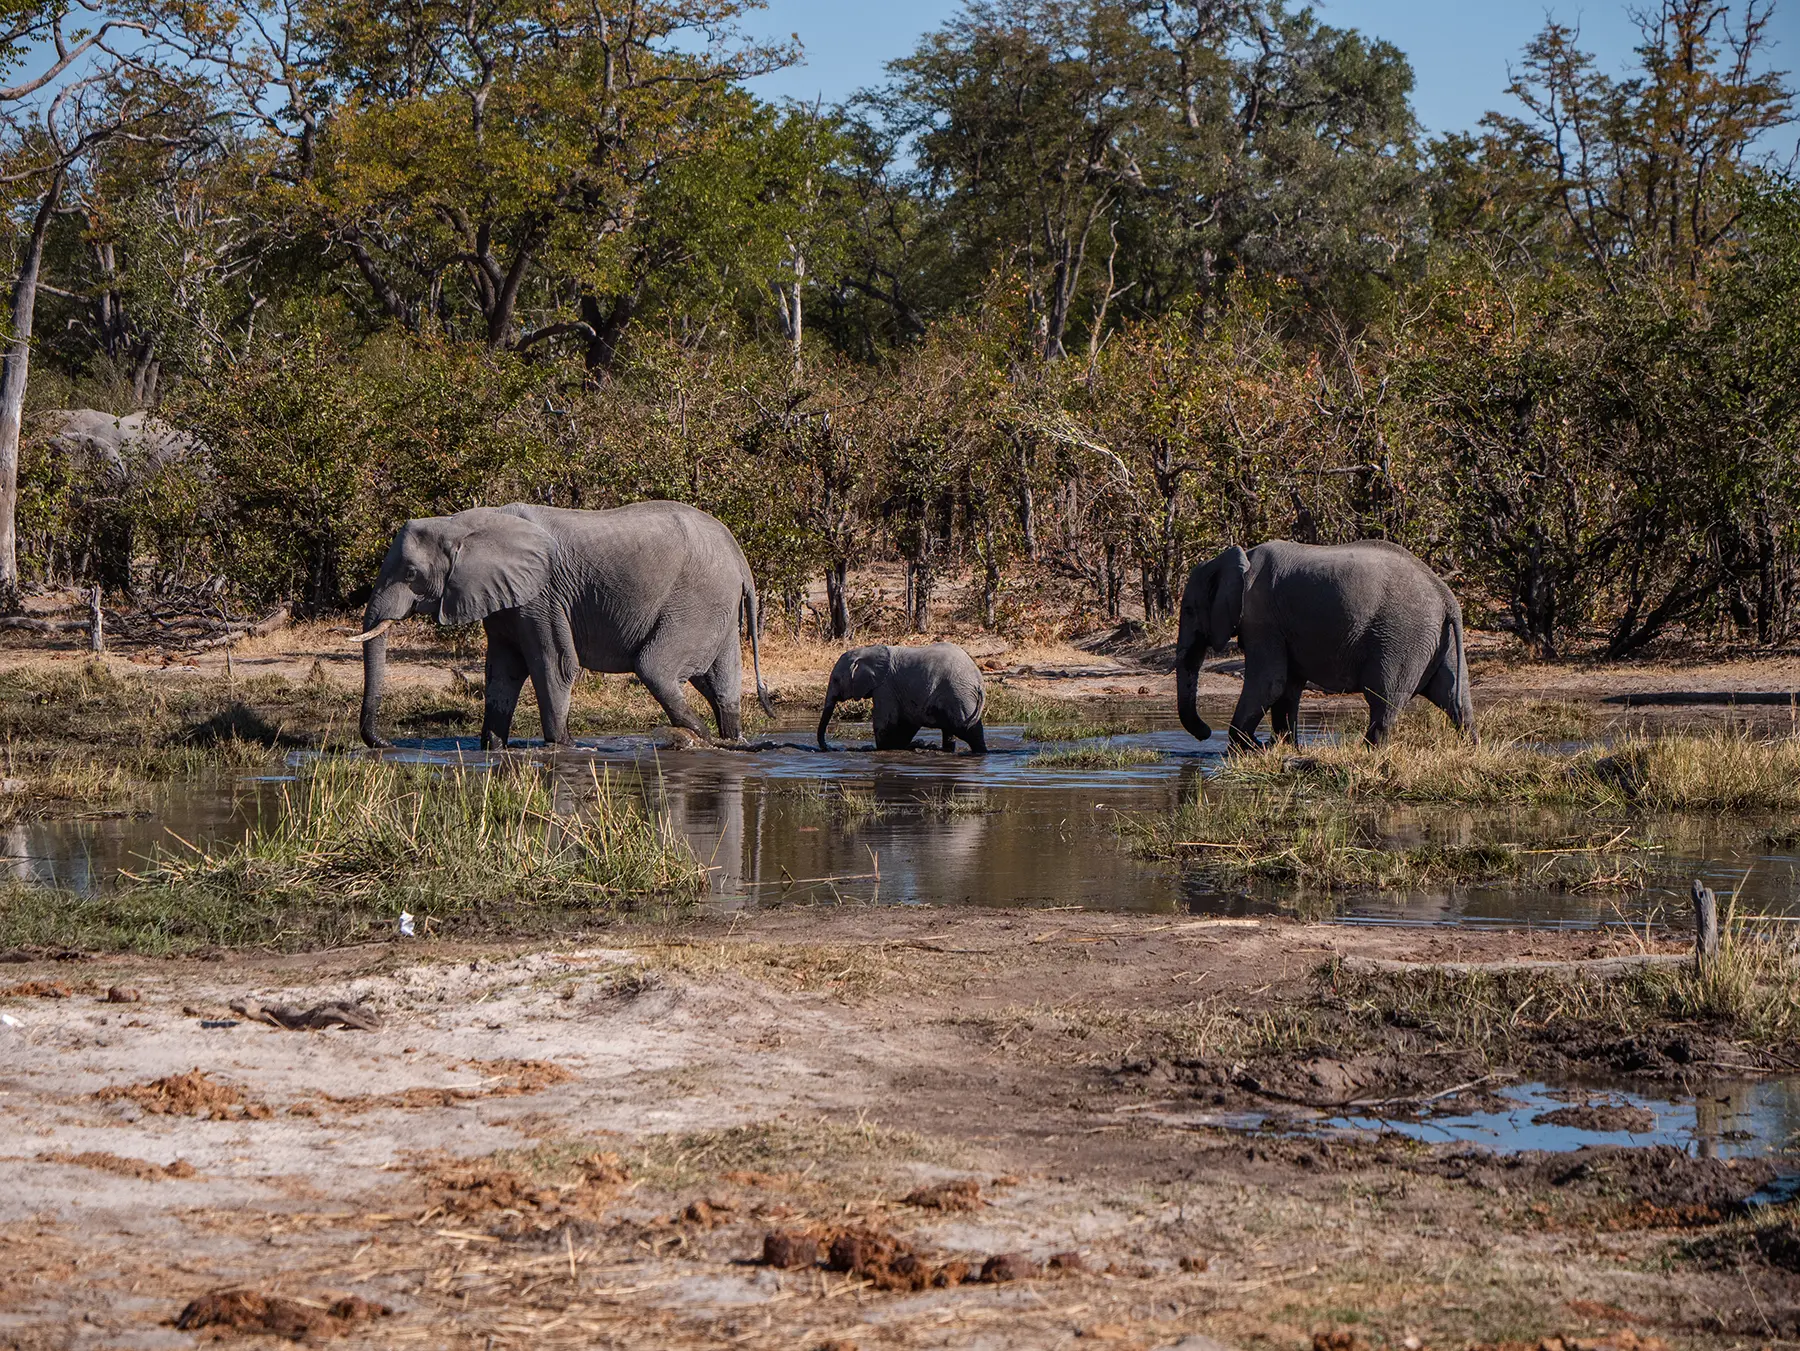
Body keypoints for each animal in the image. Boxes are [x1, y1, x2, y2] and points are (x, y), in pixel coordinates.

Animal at [357, 501, 771, 749]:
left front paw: (561, 747)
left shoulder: (542, 598)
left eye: (411, 573)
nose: (386, 745)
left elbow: (553, 665)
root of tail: (738, 555)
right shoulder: (505, 602)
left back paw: (702, 739)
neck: (461, 523)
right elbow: (502, 671)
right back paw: (732, 741)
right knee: (720, 685)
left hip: (698, 599)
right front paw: (493, 747)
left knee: (655, 668)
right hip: (716, 605)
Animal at [816, 644, 987, 753]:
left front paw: (881, 748)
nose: (831, 748)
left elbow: (885, 722)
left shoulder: (885, 687)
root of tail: (978, 680)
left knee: (966, 729)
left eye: (836, 680)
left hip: (958, 694)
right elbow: (905, 723)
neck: (866, 650)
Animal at [1176, 539, 1476, 751]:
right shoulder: (1280, 626)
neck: (1240, 559)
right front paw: (1282, 747)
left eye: (1189, 610)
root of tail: (1447, 596)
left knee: (1383, 698)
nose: (1205, 734)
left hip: (1401, 637)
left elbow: (1269, 683)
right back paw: (1470, 749)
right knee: (1453, 696)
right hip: (1438, 639)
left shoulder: (1262, 619)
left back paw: (1367, 753)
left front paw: (1250, 749)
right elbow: (1286, 688)